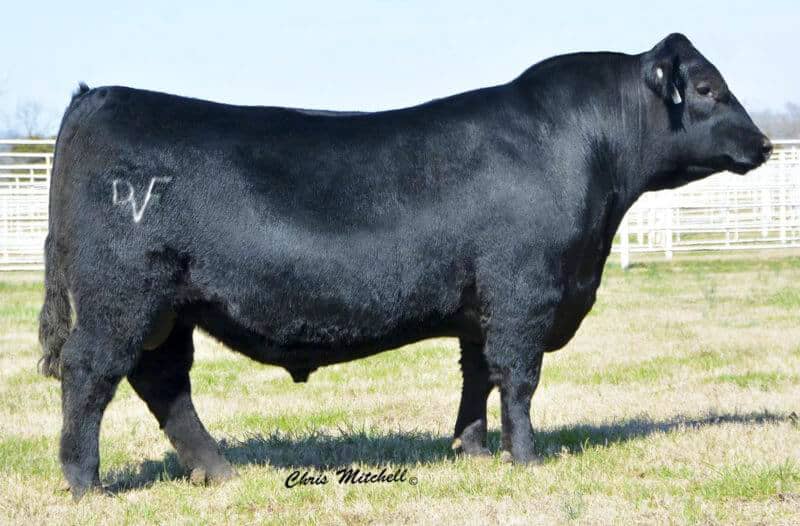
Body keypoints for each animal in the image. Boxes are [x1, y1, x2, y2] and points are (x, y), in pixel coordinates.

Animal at [38, 33, 771, 500]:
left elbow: (477, 375)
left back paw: (218, 472)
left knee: (164, 384)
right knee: (90, 374)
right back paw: (86, 484)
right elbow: (518, 379)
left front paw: (471, 449)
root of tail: (99, 96)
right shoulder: (523, 293)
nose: (764, 144)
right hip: (120, 298)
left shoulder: (481, 306)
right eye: (707, 87)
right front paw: (526, 459)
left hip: (168, 309)